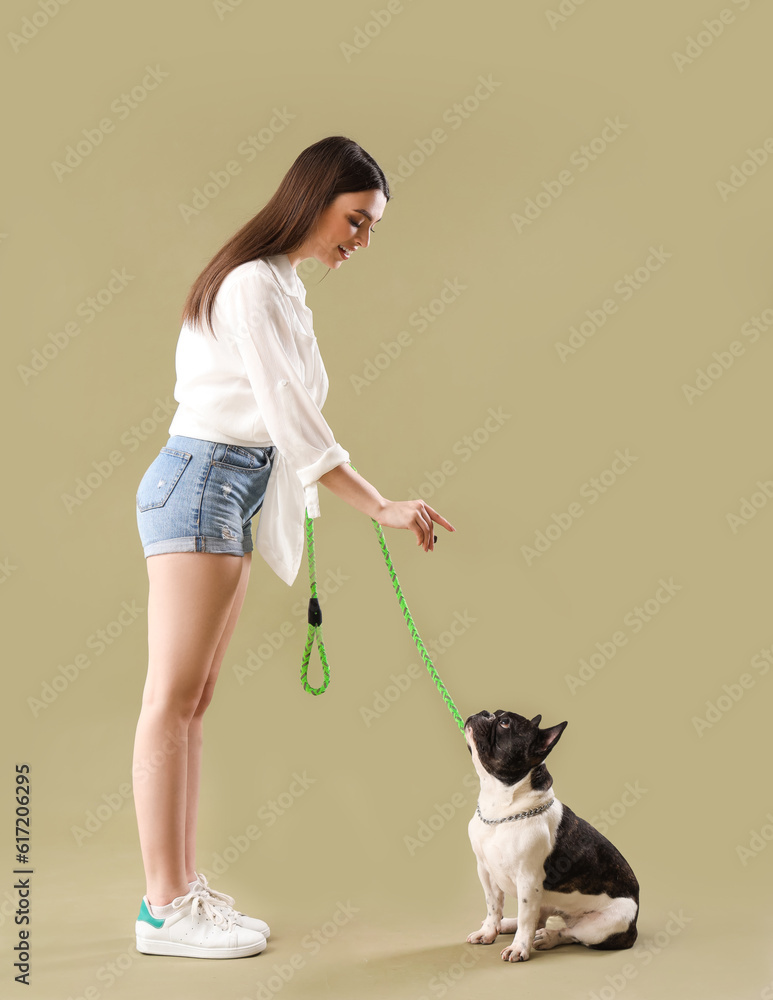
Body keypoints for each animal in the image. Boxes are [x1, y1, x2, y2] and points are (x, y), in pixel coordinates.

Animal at [462, 712, 636, 960]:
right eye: (495, 714)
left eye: (505, 723)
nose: (485, 713)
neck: (501, 811)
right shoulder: (485, 871)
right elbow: (493, 906)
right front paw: (488, 931)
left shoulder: (528, 881)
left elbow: (527, 919)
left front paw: (519, 948)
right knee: (539, 917)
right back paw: (507, 924)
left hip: (605, 925)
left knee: (569, 933)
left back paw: (546, 937)